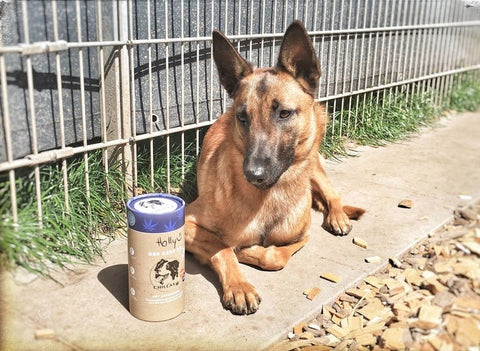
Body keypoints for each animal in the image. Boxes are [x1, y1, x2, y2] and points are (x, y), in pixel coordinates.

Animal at [184, 21, 364, 316]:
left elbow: (275, 255)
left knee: (333, 195)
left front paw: (248, 251)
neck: (268, 199)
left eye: (284, 113)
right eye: (242, 117)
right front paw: (240, 285)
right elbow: (222, 247)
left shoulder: (303, 234)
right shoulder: (186, 222)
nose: (253, 174)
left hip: (316, 168)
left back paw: (338, 217)